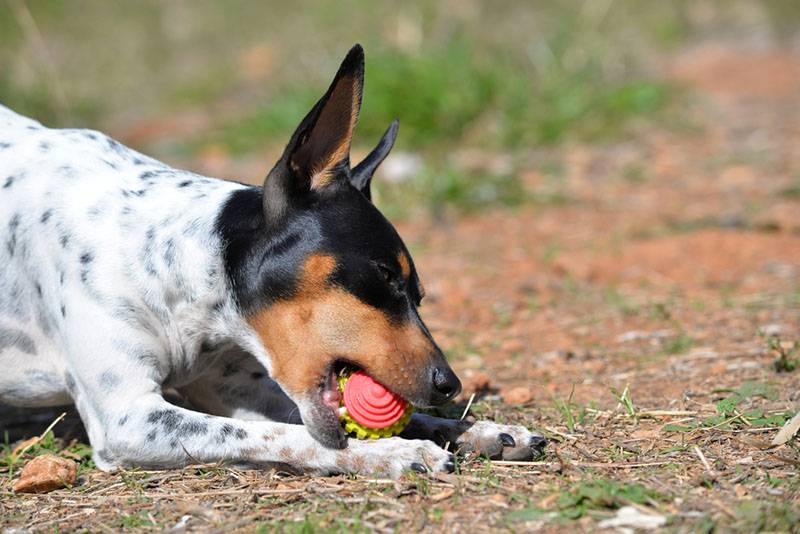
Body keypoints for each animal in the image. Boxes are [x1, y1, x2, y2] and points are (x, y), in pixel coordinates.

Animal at [0, 46, 544, 480]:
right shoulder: (129, 418)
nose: (449, 383)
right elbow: (294, 437)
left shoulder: (231, 387)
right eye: (384, 275)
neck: (174, 260)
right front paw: (390, 453)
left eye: (419, 294)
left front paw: (482, 430)